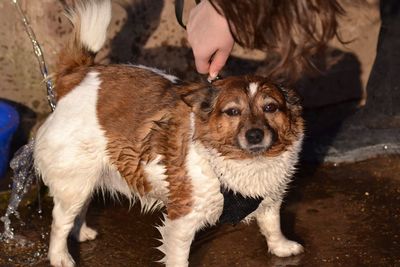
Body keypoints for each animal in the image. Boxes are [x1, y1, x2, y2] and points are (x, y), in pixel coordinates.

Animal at [33, 1, 304, 266]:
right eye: (233, 112)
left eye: (270, 108)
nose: (255, 135)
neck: (245, 160)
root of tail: (79, 74)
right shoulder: (182, 218)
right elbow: (178, 255)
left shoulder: (271, 197)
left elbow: (271, 223)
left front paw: (281, 246)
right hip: (73, 179)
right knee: (60, 221)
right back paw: (60, 257)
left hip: (86, 176)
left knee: (79, 209)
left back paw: (80, 233)